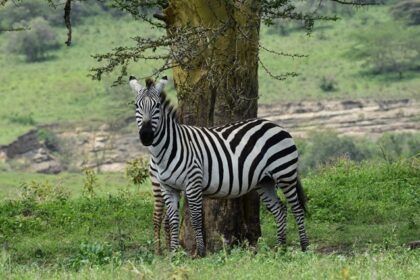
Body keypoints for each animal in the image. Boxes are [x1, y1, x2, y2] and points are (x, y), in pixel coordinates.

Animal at [130, 74, 310, 256]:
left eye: (157, 106)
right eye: (137, 106)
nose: (146, 136)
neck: (168, 149)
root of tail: (275, 125)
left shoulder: (193, 183)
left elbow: (196, 219)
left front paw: (200, 252)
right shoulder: (168, 187)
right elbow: (173, 221)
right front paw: (173, 253)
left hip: (284, 173)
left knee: (297, 209)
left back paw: (304, 246)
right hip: (265, 181)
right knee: (280, 210)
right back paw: (281, 247)